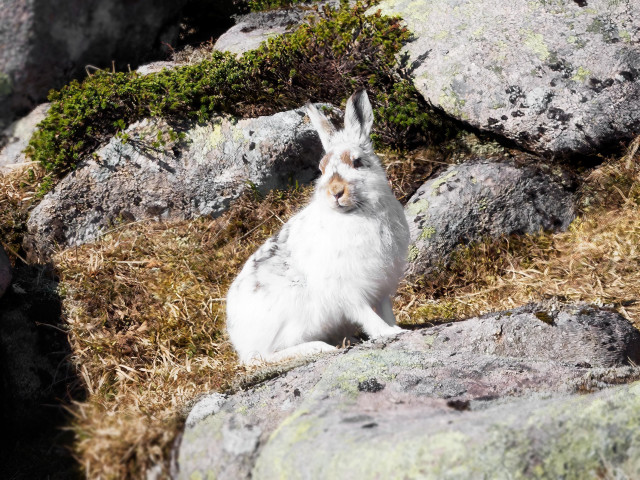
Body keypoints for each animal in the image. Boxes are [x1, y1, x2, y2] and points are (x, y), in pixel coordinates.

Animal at [226, 90, 410, 364]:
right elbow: (365, 313)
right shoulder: (347, 288)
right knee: (267, 356)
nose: (336, 192)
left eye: (357, 162)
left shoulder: (384, 284)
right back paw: (320, 348)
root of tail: (240, 342)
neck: (356, 214)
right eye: (321, 169)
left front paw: (397, 328)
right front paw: (387, 333)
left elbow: (386, 310)